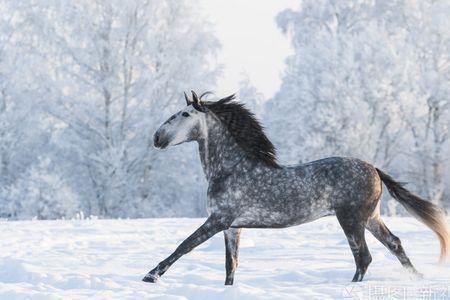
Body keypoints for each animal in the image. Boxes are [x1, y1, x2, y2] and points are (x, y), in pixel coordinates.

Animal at [143, 91, 446, 286]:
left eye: (184, 114)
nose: (157, 138)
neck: (231, 169)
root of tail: (373, 168)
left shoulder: (218, 220)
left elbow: (184, 245)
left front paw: (151, 275)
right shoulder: (232, 227)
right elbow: (231, 266)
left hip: (350, 220)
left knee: (364, 258)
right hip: (370, 218)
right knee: (394, 244)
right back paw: (418, 278)